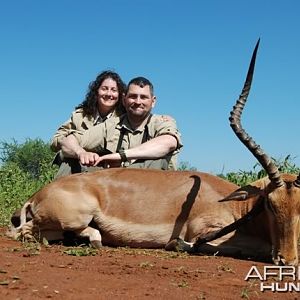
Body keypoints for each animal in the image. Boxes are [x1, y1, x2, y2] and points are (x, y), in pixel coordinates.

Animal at [7, 39, 300, 264]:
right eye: (270, 204)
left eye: (299, 205)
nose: (287, 260)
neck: (236, 206)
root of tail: (37, 195)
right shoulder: (202, 234)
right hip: (72, 217)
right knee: (21, 233)